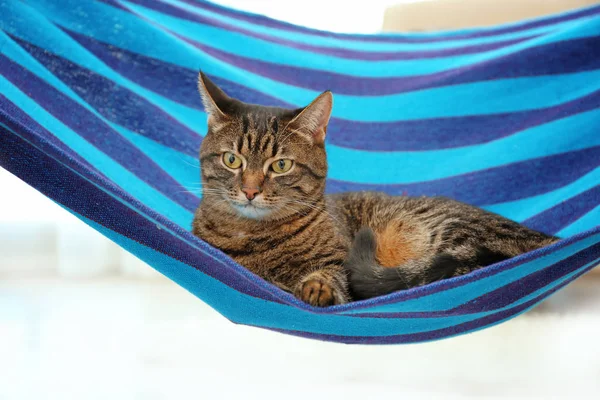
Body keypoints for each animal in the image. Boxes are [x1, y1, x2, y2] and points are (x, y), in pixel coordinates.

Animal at [192, 72, 556, 306]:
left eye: (281, 165)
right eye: (232, 160)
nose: (251, 191)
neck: (254, 235)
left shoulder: (341, 262)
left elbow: (330, 276)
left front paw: (316, 288)